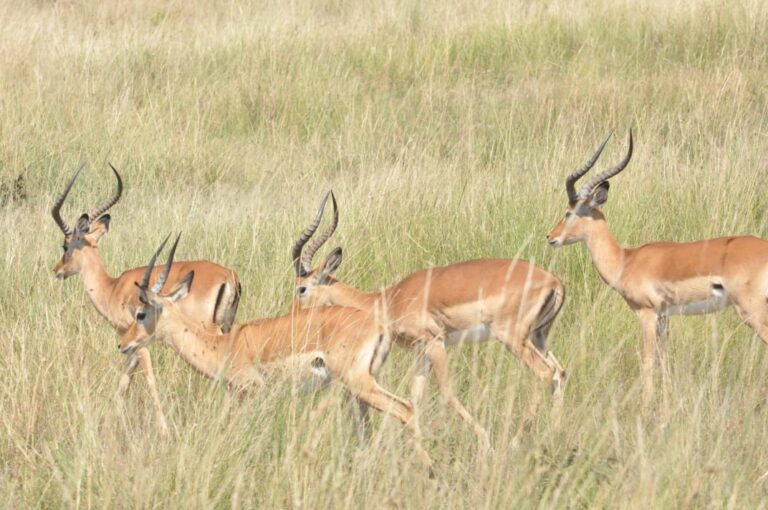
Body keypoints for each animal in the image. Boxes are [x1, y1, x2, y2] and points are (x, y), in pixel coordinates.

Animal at [51, 166, 240, 434]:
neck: (112, 287)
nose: (57, 270)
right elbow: (124, 379)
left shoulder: (139, 341)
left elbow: (148, 378)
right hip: (227, 325)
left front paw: (163, 428)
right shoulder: (129, 343)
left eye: (65, 246)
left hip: (209, 328)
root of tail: (229, 276)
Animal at [118, 235, 436, 474]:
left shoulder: (253, 392)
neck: (224, 346)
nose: (123, 344)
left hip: (360, 384)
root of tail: (379, 327)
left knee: (406, 409)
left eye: (141, 313)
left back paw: (429, 472)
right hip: (357, 390)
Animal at [292, 192, 568, 450]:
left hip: (512, 338)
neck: (387, 300)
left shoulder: (435, 343)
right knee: (559, 372)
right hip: (537, 337)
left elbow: (445, 390)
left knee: (545, 373)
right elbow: (414, 398)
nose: (294, 317)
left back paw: (515, 441)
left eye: (301, 289)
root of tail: (554, 281)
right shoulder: (420, 352)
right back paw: (552, 434)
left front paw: (484, 440)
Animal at [544, 130, 768, 406]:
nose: (551, 237)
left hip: (750, 310)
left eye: (569, 212)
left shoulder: (647, 314)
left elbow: (648, 361)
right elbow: (663, 361)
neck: (626, 260)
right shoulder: (664, 317)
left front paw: (645, 406)